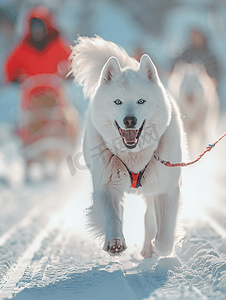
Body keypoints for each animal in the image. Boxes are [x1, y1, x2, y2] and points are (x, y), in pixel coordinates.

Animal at [69, 37, 186, 258]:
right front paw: (114, 242)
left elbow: (165, 237)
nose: (129, 120)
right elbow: (112, 216)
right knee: (123, 211)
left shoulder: (166, 190)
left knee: (150, 217)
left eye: (141, 101)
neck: (134, 156)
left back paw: (148, 248)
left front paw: (157, 247)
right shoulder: (105, 186)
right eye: (117, 102)